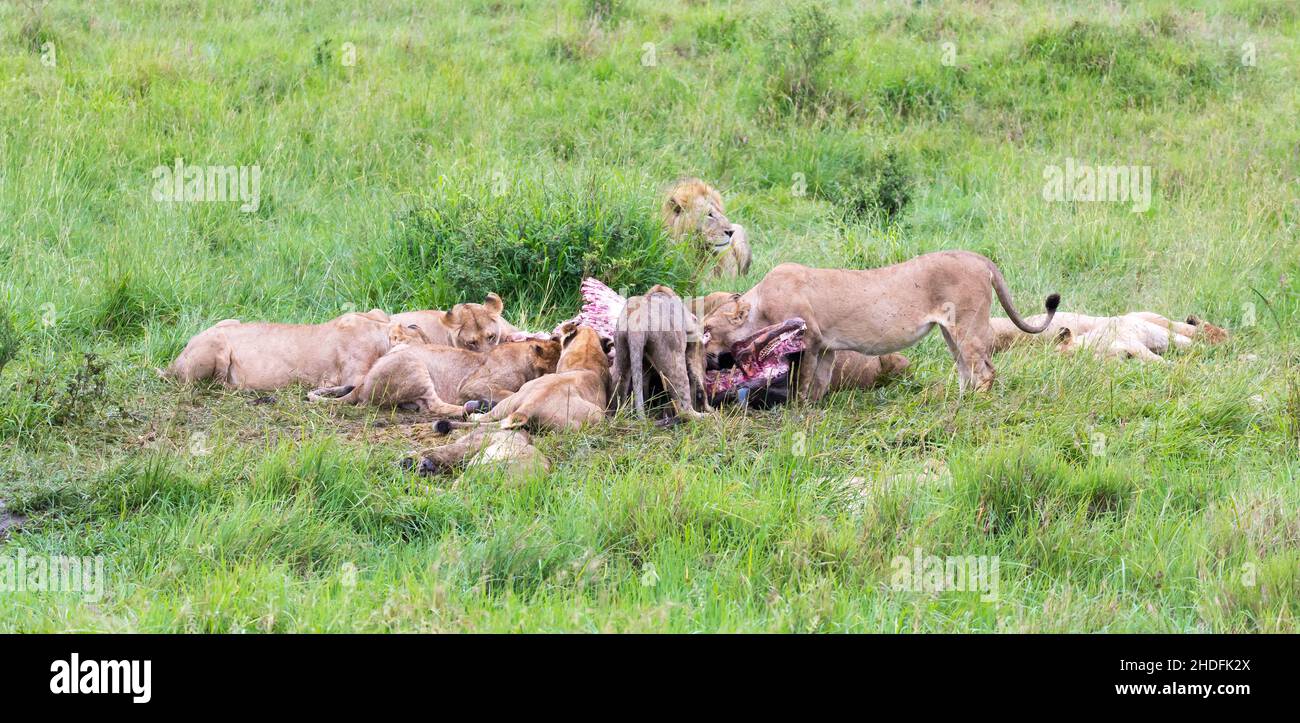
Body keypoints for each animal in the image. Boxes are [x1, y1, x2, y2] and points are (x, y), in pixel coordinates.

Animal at [700, 251, 1060, 399]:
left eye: (707, 331)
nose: (700, 352)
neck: (759, 305)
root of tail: (977, 257)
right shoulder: (827, 347)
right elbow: (819, 383)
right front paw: (814, 408)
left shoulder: (809, 340)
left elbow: (801, 381)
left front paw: (797, 411)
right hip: (950, 331)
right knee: (965, 369)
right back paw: (959, 402)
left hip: (967, 325)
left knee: (984, 370)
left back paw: (975, 405)